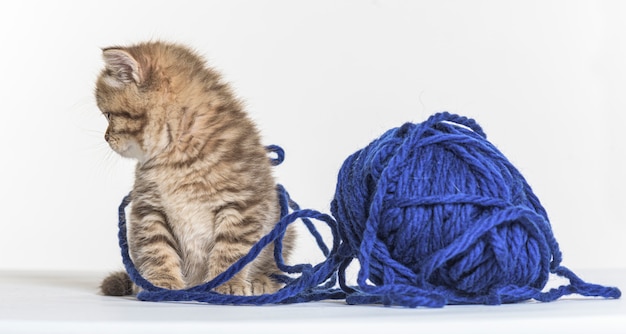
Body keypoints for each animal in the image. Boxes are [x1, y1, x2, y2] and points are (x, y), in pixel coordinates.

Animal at [94, 41, 294, 294]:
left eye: (109, 115)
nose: (106, 137)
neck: (177, 157)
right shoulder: (149, 207)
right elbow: (156, 247)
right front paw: (162, 282)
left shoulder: (244, 203)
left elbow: (232, 250)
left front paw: (227, 282)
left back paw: (262, 280)